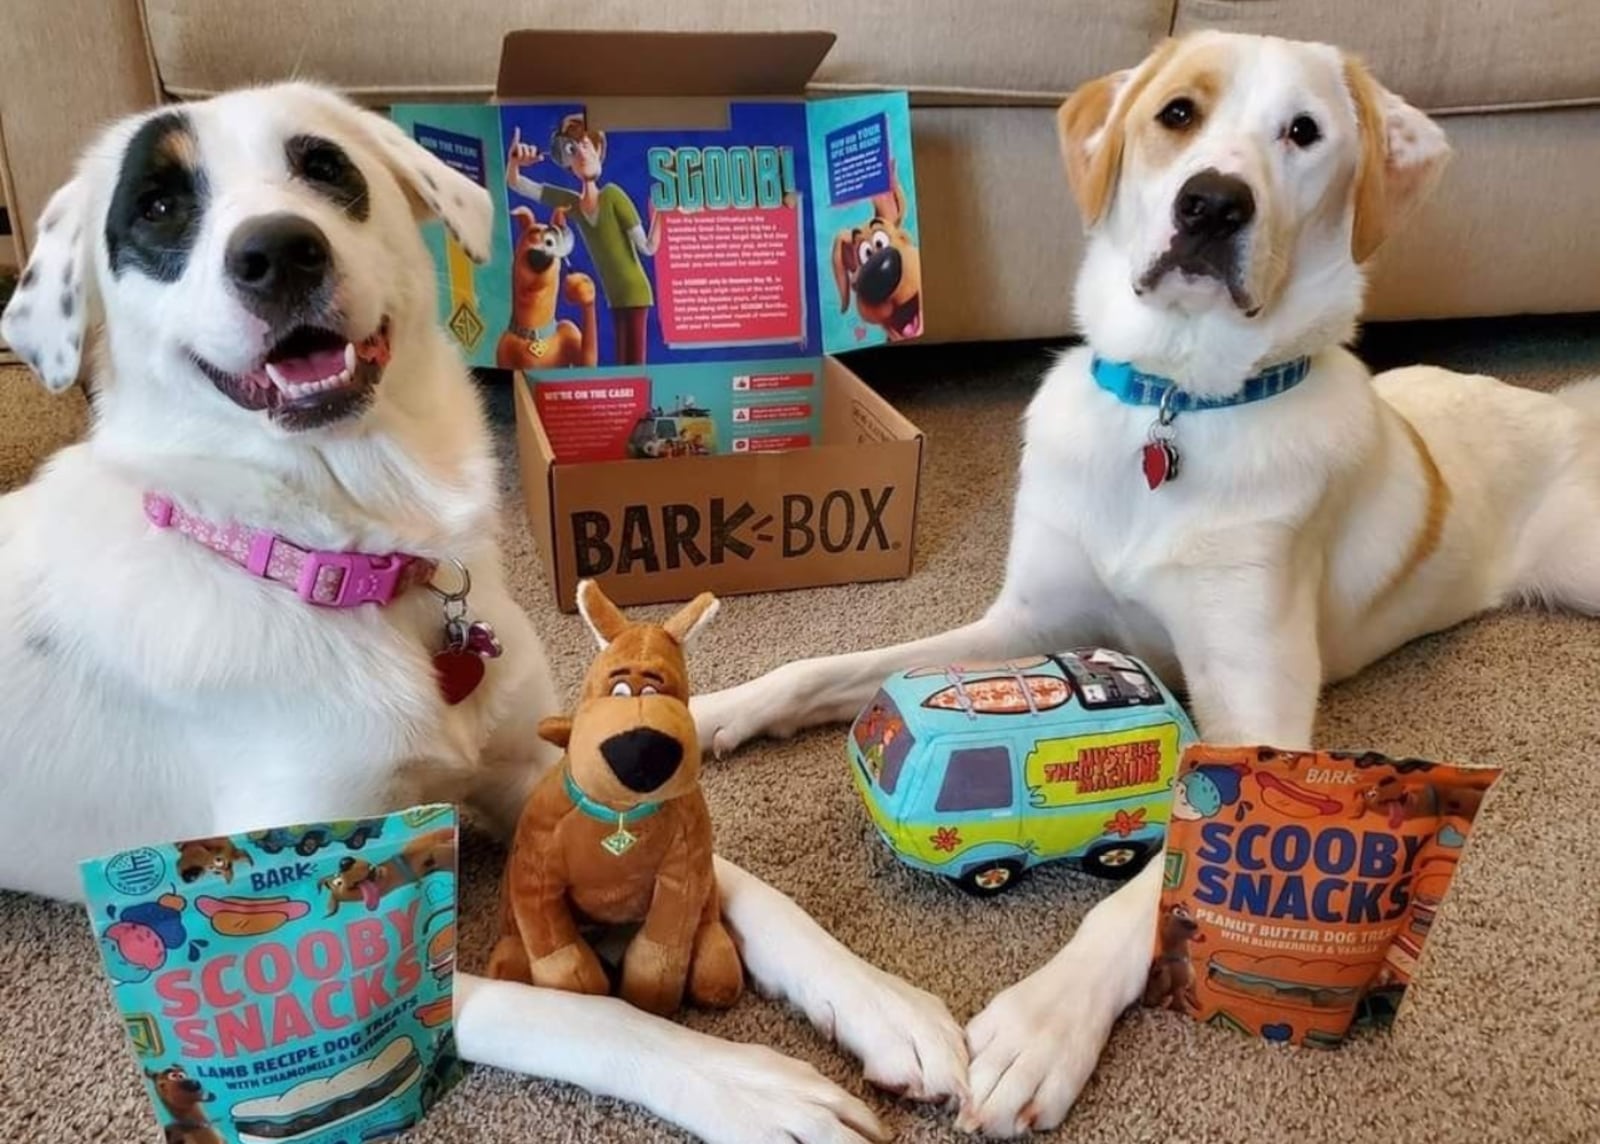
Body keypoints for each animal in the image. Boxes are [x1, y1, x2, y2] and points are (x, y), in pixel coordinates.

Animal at [0, 82, 960, 1144]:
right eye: (161, 207)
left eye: (322, 164)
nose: (278, 252)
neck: (356, 562)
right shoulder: (316, 927)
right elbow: (564, 1011)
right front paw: (751, 1084)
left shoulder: (543, 766)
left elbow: (736, 878)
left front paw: (873, 998)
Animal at [694, 31, 1600, 1139]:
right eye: (1177, 114)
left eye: (1304, 133)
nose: (1212, 204)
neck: (1176, 403)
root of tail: (1557, 406)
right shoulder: (1022, 627)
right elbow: (824, 667)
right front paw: (700, 709)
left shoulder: (1257, 725)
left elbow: (1156, 879)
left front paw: (1041, 1028)